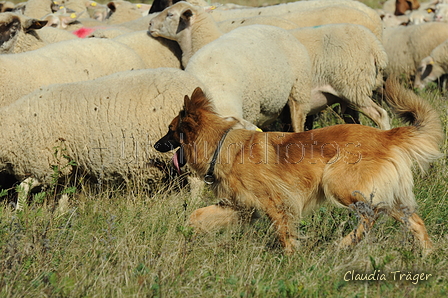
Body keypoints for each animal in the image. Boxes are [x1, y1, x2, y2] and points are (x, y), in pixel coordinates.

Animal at [0, 68, 205, 210]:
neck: (12, 126)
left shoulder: (46, 164)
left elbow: (23, 187)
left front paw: (19, 213)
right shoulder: (67, 167)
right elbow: (64, 194)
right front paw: (60, 214)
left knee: (197, 182)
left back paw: (193, 206)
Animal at [156, 79, 442, 254]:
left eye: (170, 130)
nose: (156, 145)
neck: (221, 143)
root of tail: (386, 135)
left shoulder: (276, 203)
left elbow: (285, 233)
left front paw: (291, 258)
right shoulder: (241, 207)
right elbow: (197, 215)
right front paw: (187, 233)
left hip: (338, 184)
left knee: (370, 215)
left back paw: (344, 243)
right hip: (380, 193)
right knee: (411, 219)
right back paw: (427, 253)